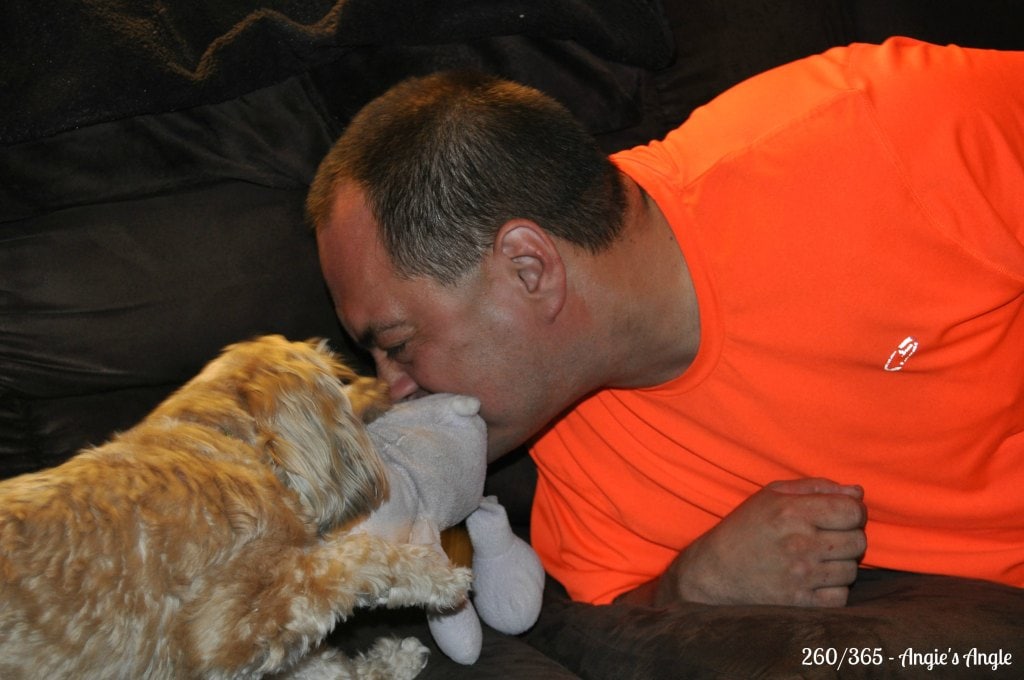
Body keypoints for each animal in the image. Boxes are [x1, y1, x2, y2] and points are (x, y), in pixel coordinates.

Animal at [0, 333, 471, 680]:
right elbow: (355, 558)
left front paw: (392, 662)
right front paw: (439, 578)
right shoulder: (229, 629)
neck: (222, 441)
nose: (388, 384)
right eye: (341, 379)